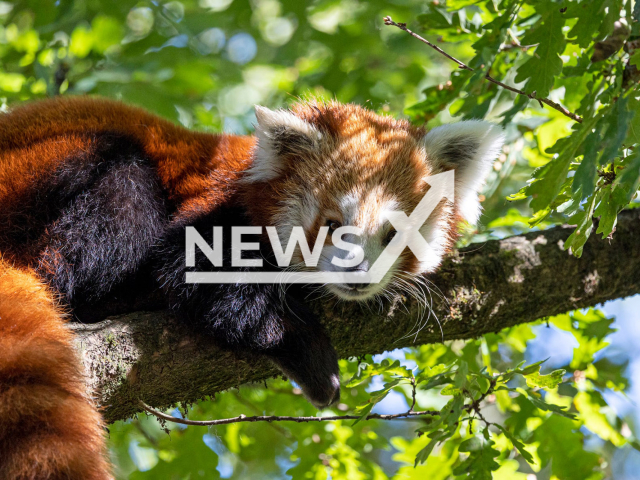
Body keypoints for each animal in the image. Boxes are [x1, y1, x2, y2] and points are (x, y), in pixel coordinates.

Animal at [0, 95, 502, 478]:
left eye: (394, 233)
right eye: (332, 225)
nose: (357, 274)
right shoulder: (212, 209)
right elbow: (201, 274)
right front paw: (306, 351)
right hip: (53, 172)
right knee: (116, 194)